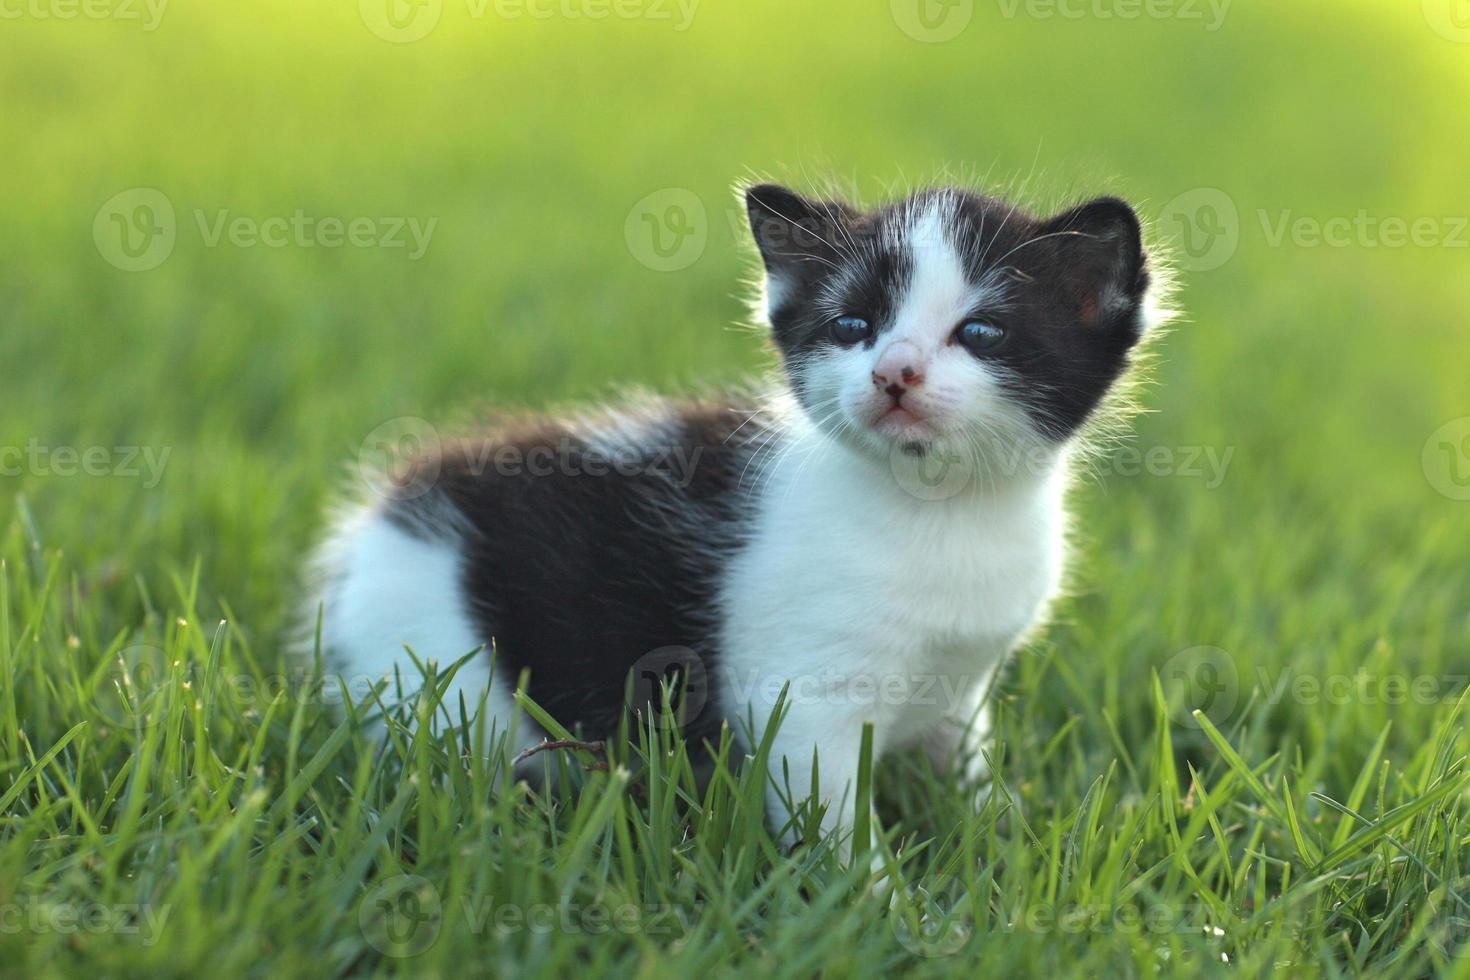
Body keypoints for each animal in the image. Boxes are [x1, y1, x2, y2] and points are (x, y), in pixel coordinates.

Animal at [304, 182, 1164, 852]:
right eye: (852, 328)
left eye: (981, 332)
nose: (893, 372)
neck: (939, 511)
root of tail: (379, 518)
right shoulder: (799, 694)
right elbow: (830, 812)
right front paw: (883, 906)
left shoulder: (964, 684)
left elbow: (965, 769)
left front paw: (1003, 841)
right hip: (433, 674)